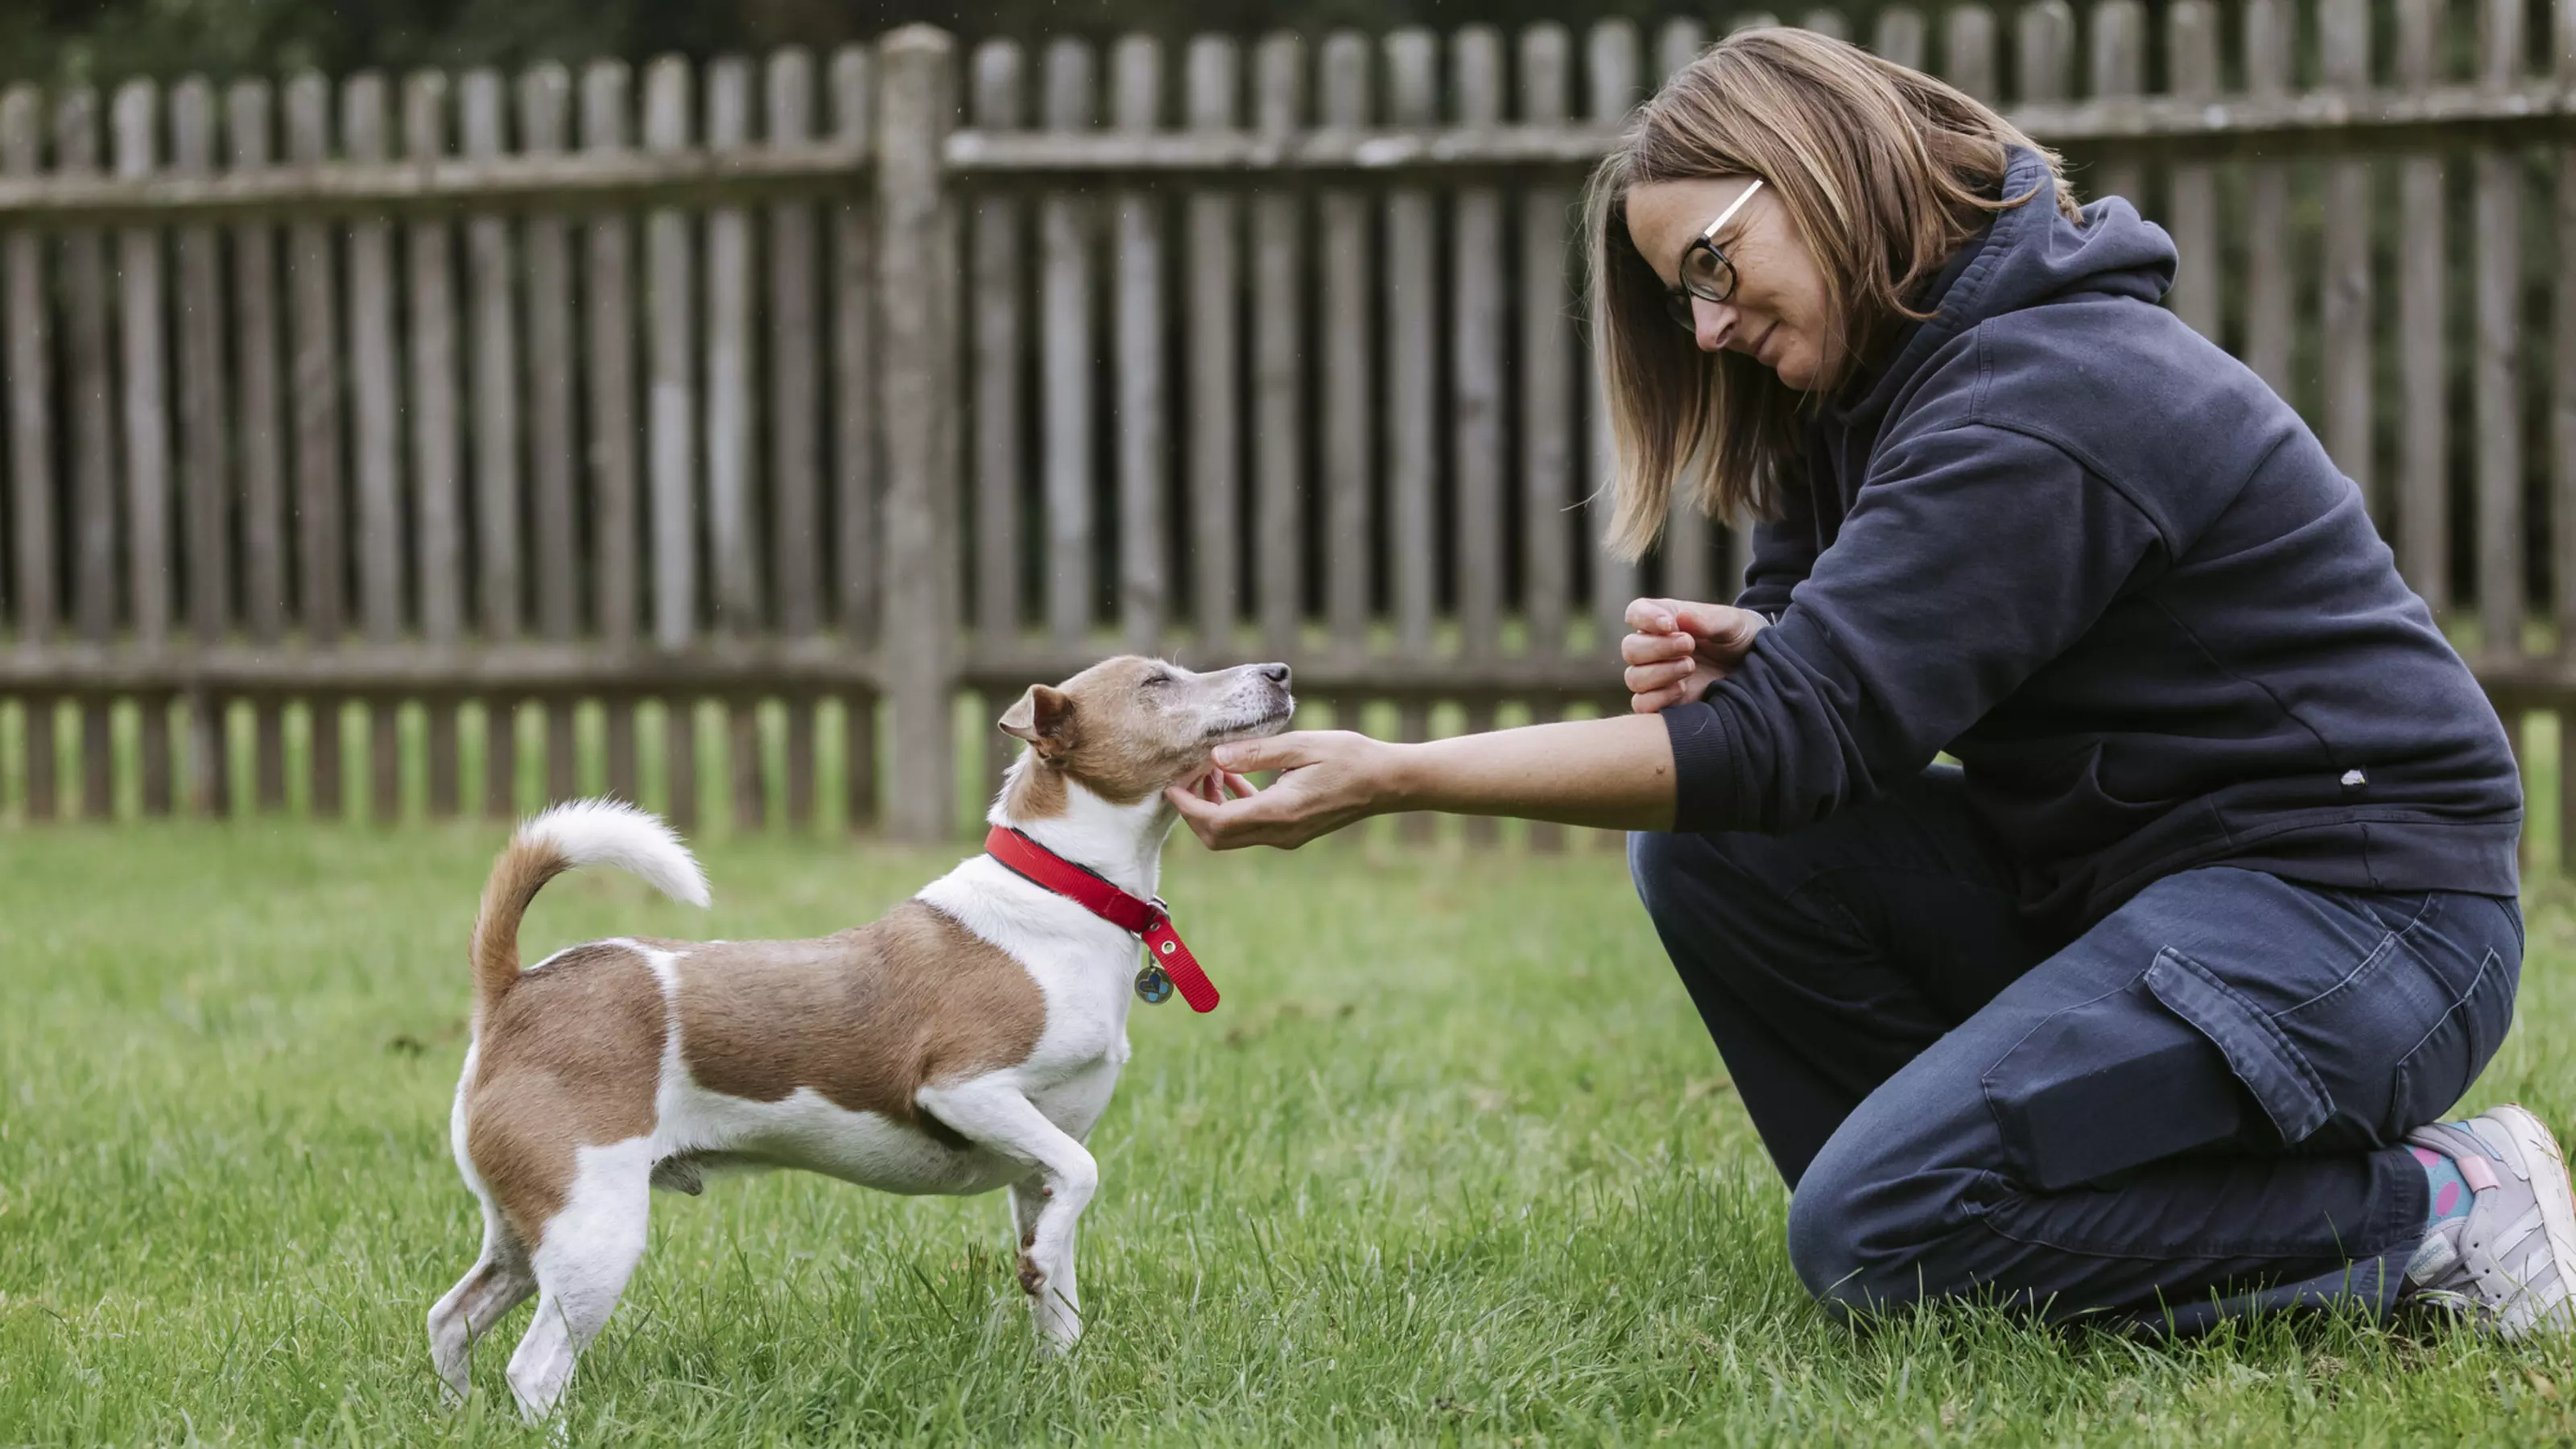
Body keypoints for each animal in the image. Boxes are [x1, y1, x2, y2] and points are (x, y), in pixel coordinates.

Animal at [435, 652, 1308, 1413]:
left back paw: (456, 1413)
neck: (1064, 894)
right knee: (535, 1367)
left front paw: (1058, 1364)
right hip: (595, 1229)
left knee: (453, 1319)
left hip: (530, 1230)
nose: (1278, 671)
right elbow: (1086, 1171)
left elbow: (1057, 1280)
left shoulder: (1037, 1172)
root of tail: (516, 986)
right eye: (1157, 683)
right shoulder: (965, 1089)